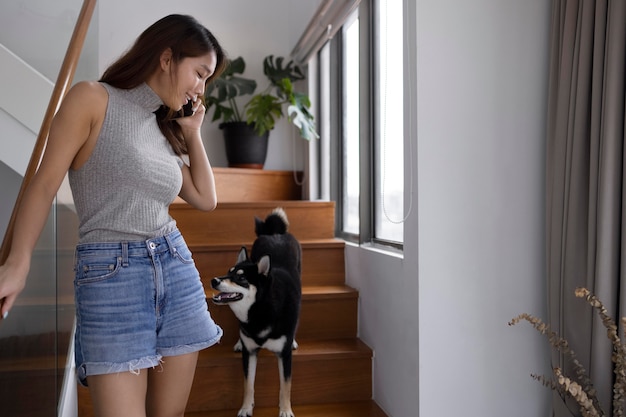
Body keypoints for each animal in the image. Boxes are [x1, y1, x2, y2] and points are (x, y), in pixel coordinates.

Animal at [211, 208, 302, 416]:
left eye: (240, 278)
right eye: (228, 272)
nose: (214, 280)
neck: (260, 310)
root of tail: (274, 232)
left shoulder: (284, 356)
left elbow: (286, 386)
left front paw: (285, 410)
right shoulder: (250, 352)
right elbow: (248, 385)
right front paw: (246, 408)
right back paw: (238, 342)